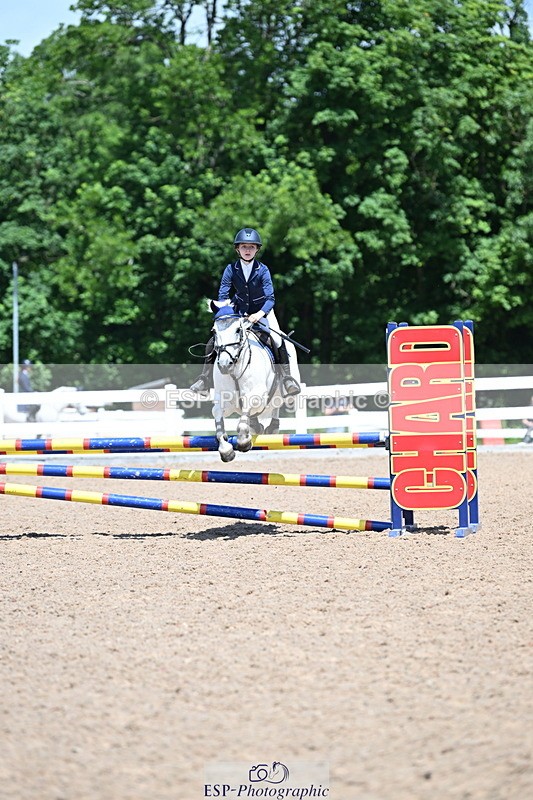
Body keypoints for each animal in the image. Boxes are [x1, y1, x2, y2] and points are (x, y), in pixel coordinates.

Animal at [211, 309, 282, 462]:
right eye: (214, 331)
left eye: (238, 329)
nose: (224, 365)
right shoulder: (226, 401)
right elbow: (217, 416)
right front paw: (226, 450)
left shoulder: (258, 396)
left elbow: (243, 420)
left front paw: (244, 442)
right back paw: (257, 426)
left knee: (277, 404)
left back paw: (272, 427)